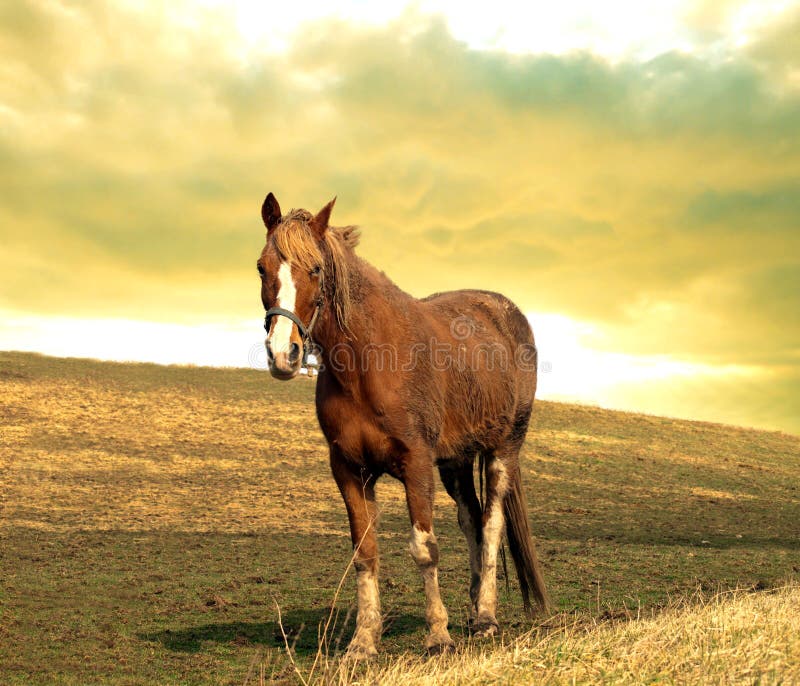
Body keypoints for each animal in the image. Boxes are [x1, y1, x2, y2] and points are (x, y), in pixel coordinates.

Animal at [256, 193, 549, 657]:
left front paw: (438, 635)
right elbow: (365, 552)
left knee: (491, 524)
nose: (284, 352)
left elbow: (424, 548)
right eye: (262, 267)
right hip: (455, 462)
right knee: (472, 520)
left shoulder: (416, 464)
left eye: (315, 269)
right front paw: (363, 640)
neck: (368, 363)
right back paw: (472, 611)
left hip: (503, 449)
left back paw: (485, 617)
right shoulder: (349, 470)